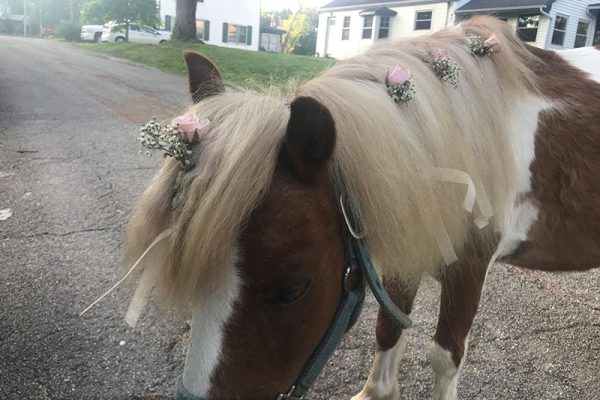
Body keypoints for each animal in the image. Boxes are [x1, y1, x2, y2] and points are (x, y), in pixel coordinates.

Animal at [122, 16, 600, 400]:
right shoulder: (408, 245)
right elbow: (388, 328)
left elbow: (444, 356)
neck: (460, 137)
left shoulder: (469, 265)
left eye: (293, 288)